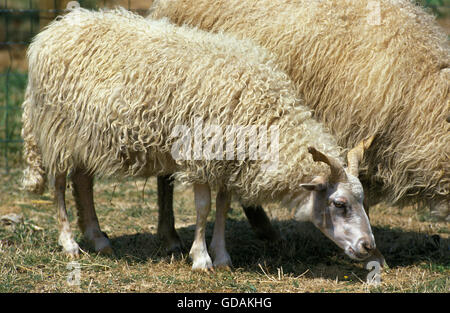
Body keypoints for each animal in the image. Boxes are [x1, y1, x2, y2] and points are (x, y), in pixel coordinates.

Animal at [22, 6, 376, 268]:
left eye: (362, 199)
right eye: (339, 203)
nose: (368, 246)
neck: (263, 110)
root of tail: (54, 29)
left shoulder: (227, 158)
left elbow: (222, 206)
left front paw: (222, 256)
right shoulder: (201, 153)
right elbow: (204, 207)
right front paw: (201, 258)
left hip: (87, 136)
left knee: (82, 181)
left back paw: (98, 239)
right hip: (56, 130)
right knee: (58, 184)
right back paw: (69, 243)